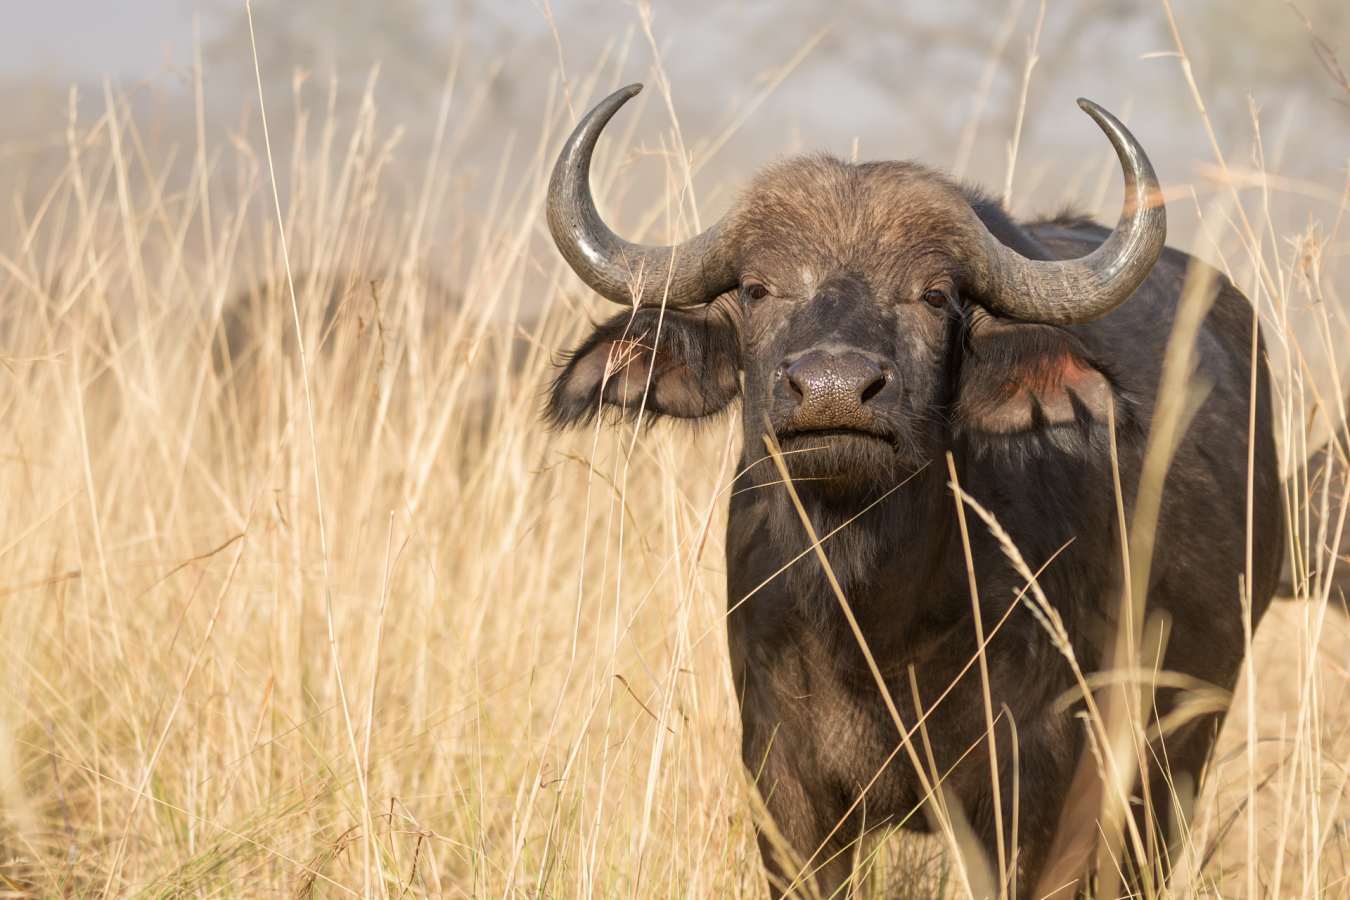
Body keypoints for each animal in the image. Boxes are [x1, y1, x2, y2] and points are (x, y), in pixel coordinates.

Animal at [543, 84, 1283, 896]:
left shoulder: (1030, 790)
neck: (873, 624)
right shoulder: (784, 792)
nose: (833, 389)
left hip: (1171, 759)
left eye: (933, 295)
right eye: (757, 289)